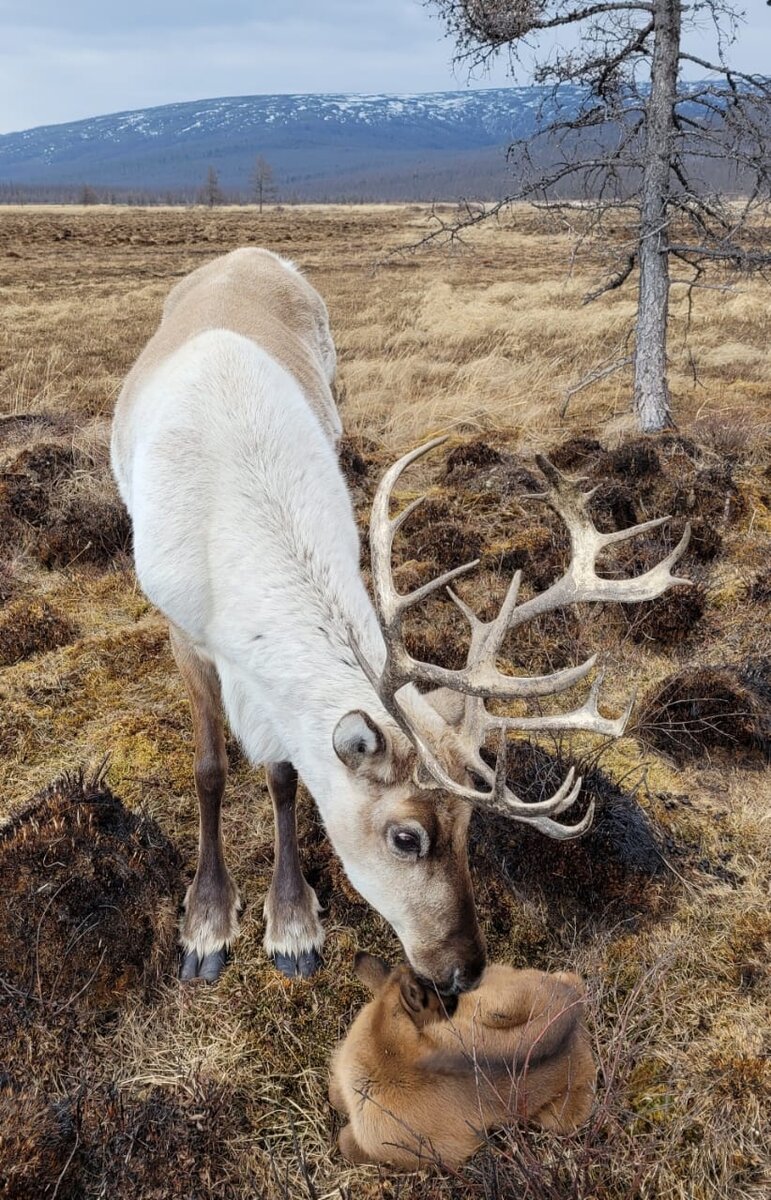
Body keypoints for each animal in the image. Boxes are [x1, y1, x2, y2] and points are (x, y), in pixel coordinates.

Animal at [329, 950, 595, 1166]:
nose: (452, 1000)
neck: (384, 1048)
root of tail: (576, 1007)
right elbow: (334, 1098)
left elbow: (345, 1140)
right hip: (495, 1002)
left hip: (559, 1118)